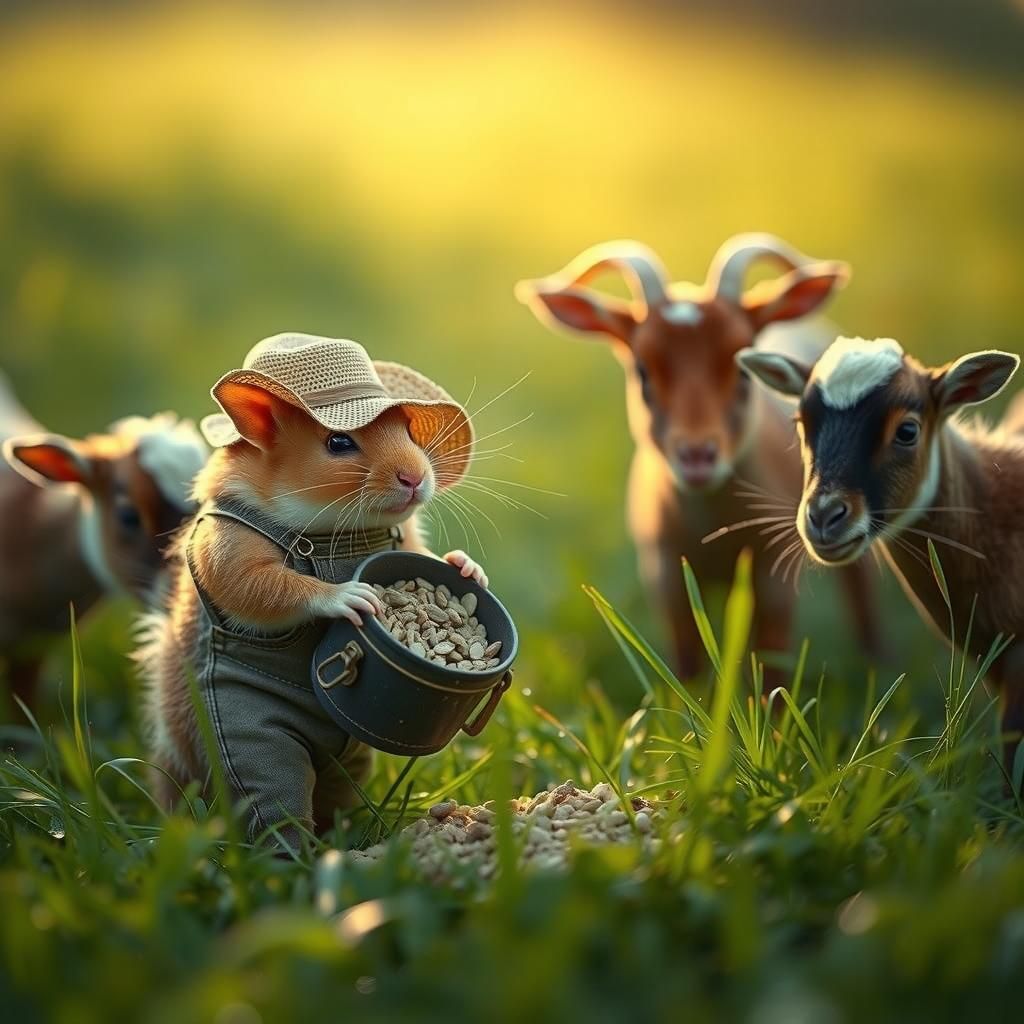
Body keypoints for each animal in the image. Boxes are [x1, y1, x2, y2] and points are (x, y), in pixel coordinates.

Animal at [516, 234, 881, 682]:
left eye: (743, 368)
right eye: (642, 370)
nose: (697, 457)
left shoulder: (774, 573)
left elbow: (771, 663)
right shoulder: (665, 574)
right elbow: (688, 662)